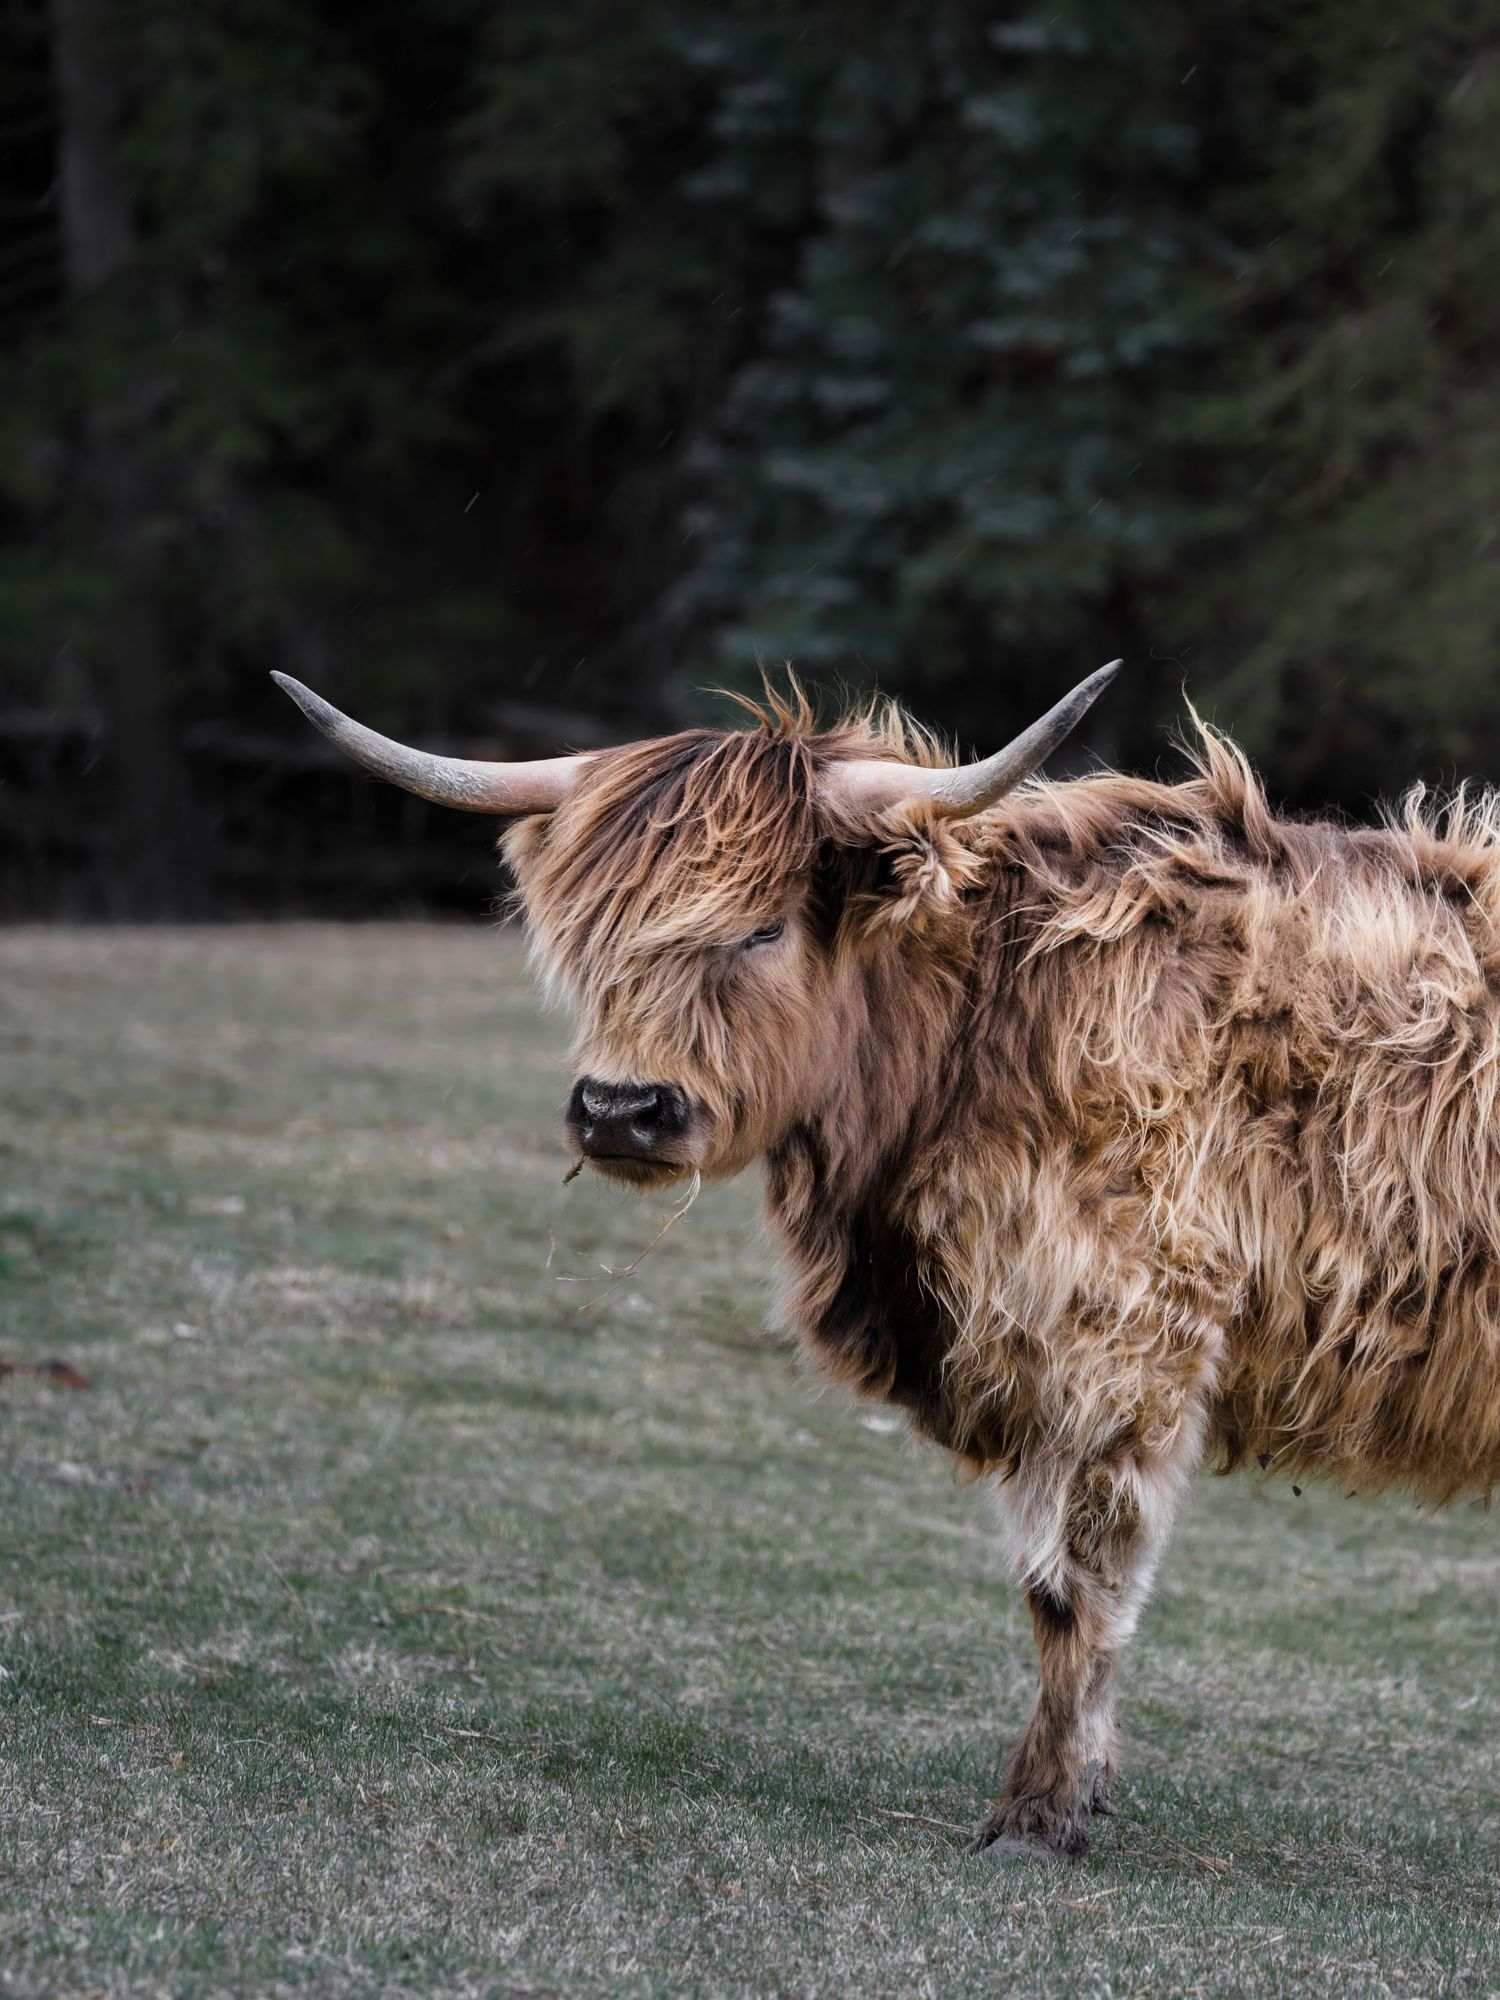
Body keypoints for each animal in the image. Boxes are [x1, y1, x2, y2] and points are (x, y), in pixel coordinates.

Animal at [274, 662, 1500, 1863]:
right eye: (596, 932)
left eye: (764, 929)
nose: (622, 1109)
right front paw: (1080, 1792)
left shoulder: (1114, 1336)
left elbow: (1075, 1581)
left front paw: (1039, 1814)